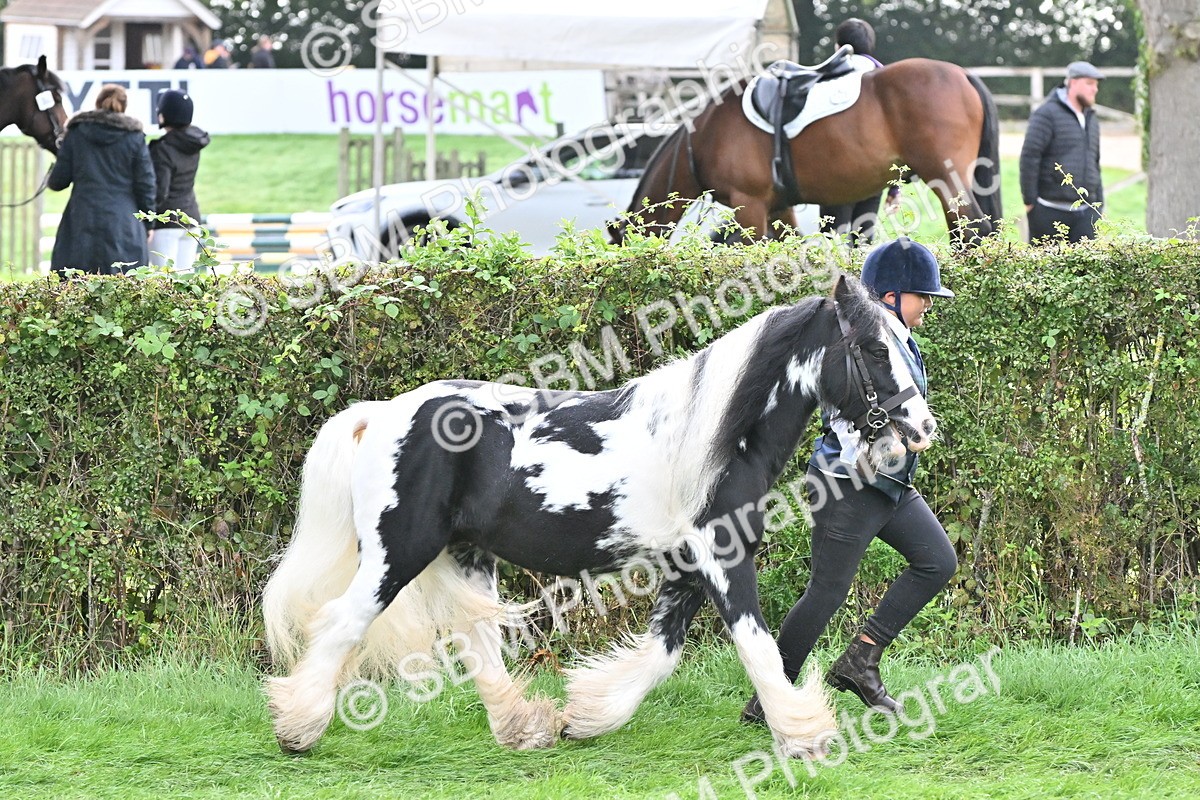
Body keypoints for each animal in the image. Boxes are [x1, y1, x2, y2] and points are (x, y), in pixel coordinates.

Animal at [262, 274, 938, 760]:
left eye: (907, 345)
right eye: (875, 348)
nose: (921, 429)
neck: (717, 440)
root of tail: (380, 413)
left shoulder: (687, 565)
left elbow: (662, 653)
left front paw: (587, 716)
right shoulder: (722, 557)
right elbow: (758, 645)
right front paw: (805, 736)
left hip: (466, 554)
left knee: (478, 641)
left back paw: (524, 729)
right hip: (397, 554)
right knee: (341, 623)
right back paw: (297, 729)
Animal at [611, 57, 1002, 247]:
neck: (704, 137)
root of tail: (963, 75)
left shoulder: (750, 206)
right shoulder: (778, 207)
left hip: (946, 180)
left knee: (974, 232)